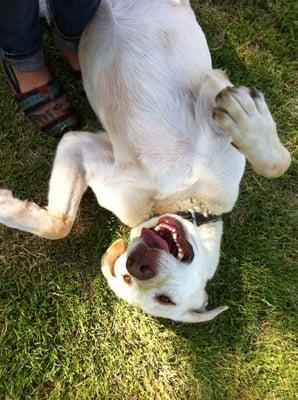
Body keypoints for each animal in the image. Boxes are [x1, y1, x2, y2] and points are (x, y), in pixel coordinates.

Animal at [0, 0, 290, 322]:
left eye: (165, 300)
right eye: (128, 275)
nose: (137, 264)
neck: (183, 199)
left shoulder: (81, 146)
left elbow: (59, 224)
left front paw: (6, 205)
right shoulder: (213, 93)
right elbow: (277, 163)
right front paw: (247, 114)